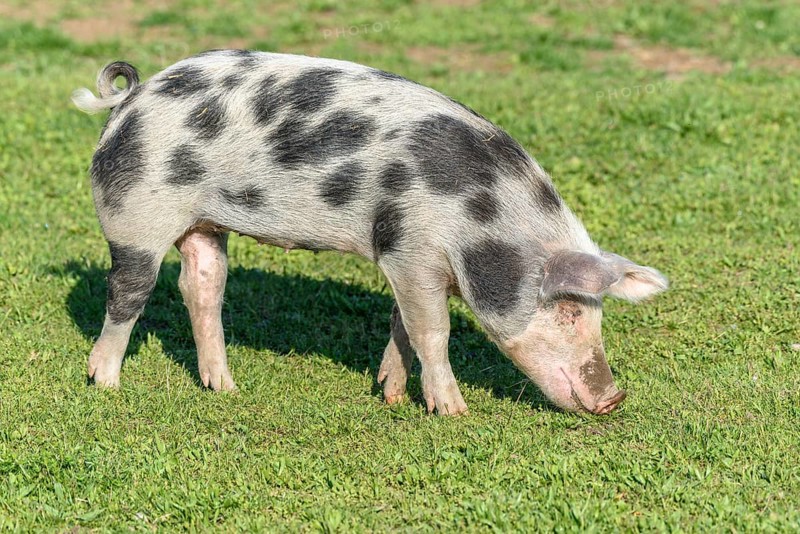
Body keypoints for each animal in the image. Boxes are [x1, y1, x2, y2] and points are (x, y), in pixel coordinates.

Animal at [72, 49, 668, 415]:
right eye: (567, 311)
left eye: (597, 312)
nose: (614, 398)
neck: (480, 218)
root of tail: (129, 99)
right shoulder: (412, 249)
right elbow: (433, 332)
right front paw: (453, 412)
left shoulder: (407, 262)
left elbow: (403, 325)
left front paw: (392, 396)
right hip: (135, 215)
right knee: (128, 292)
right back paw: (104, 382)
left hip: (205, 224)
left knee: (202, 285)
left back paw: (226, 388)